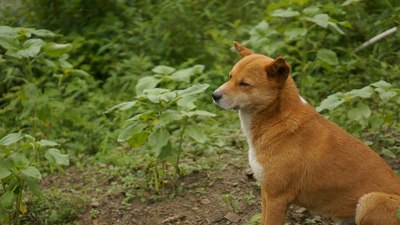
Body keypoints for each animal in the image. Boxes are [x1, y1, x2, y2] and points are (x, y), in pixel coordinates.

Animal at [214, 41, 400, 223]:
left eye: (245, 84)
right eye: (230, 77)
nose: (214, 95)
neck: (277, 121)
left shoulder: (277, 197)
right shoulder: (266, 193)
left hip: (370, 200)